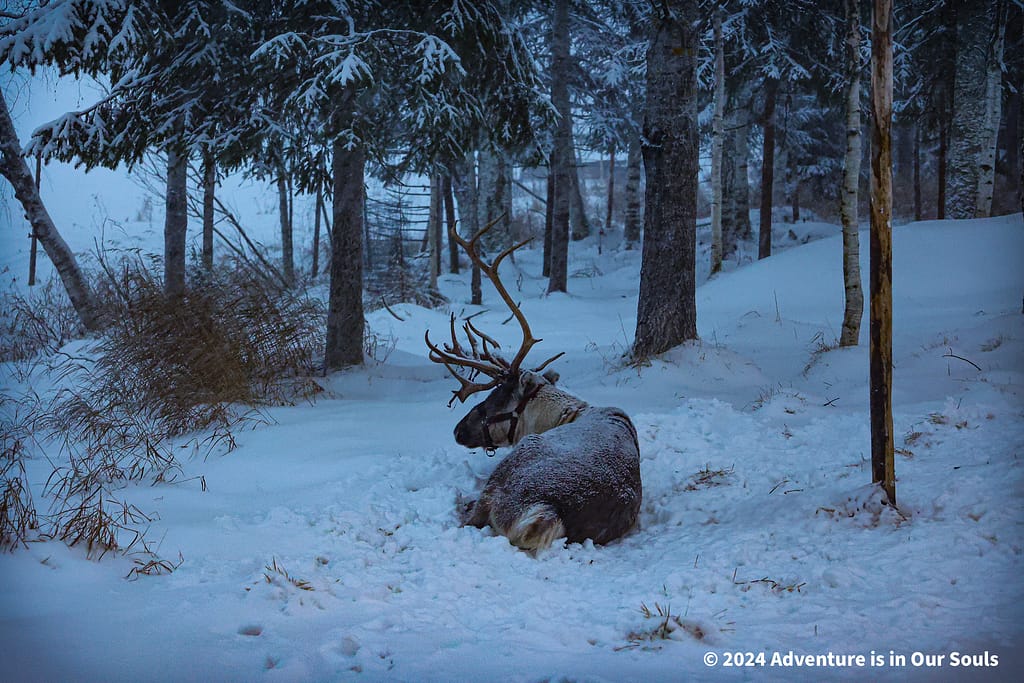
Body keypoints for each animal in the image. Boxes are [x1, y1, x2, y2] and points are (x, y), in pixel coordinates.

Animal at [426, 218, 642, 552]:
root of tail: (548, 511)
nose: (457, 430)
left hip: (508, 472)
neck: (565, 414)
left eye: (495, 399)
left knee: (471, 513)